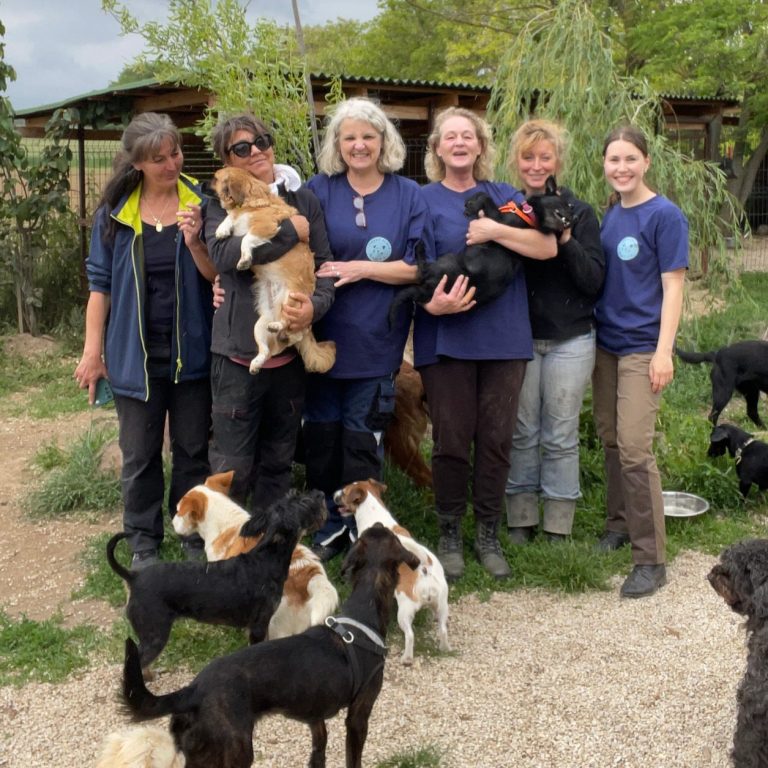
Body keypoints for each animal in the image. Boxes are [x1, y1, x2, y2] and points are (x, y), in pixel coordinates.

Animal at [106, 489, 327, 674]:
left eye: (295, 495)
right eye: (304, 503)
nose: (321, 494)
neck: (265, 560)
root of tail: (133, 577)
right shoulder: (259, 624)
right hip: (155, 635)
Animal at [112, 525, 420, 768]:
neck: (361, 614)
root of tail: (193, 690)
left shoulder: (316, 716)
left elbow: (318, 752)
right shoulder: (358, 715)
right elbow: (352, 759)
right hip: (235, 753)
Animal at [212, 166, 336, 374]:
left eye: (215, 179)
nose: (203, 184)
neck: (248, 203)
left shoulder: (265, 227)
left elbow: (246, 239)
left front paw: (244, 259)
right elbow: (230, 218)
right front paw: (222, 228)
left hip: (291, 301)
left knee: (290, 327)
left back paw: (279, 325)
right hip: (259, 326)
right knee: (267, 350)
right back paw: (256, 362)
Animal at [334, 478, 449, 664]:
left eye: (344, 492)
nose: (333, 494)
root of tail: (425, 569)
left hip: (405, 612)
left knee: (410, 635)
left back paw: (407, 658)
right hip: (442, 605)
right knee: (443, 629)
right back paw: (445, 647)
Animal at [388, 175, 574, 323]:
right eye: (566, 205)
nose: (573, 220)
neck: (532, 218)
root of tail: (427, 289)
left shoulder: (498, 221)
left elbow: (486, 196)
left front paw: (472, 203)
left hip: (447, 262)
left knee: (422, 268)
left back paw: (419, 248)